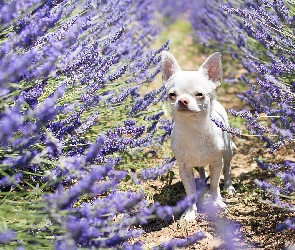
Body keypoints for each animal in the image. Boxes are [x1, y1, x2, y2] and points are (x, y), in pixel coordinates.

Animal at [162, 50, 236, 221]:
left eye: (199, 94)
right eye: (172, 94)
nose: (182, 100)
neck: (193, 130)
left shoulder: (216, 163)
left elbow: (215, 184)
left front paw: (217, 202)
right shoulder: (184, 168)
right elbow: (190, 191)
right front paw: (190, 212)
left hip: (227, 152)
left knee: (227, 168)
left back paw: (228, 186)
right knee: (201, 170)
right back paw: (202, 184)